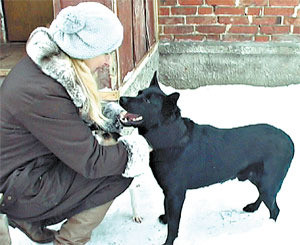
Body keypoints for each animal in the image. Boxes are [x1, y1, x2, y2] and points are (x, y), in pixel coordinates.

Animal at [119, 72, 292, 245]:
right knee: (265, 198)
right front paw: (165, 219)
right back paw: (252, 208)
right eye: (139, 93)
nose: (121, 99)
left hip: (267, 182)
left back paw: (270, 228)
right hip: (258, 179)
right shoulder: (168, 191)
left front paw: (168, 241)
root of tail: (290, 140)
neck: (170, 135)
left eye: (147, 101)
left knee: (275, 209)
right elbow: (166, 210)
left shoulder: (176, 194)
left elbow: (174, 225)